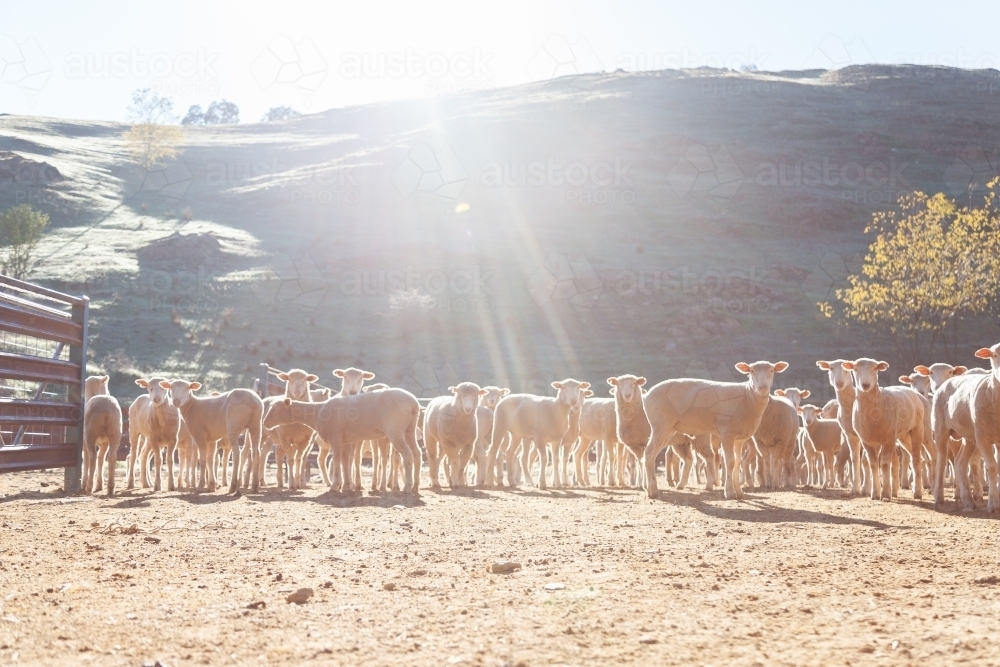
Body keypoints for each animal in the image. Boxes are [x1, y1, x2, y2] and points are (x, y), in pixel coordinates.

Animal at [263, 387, 421, 494]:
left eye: (275, 408)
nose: (264, 423)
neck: (316, 411)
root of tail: (414, 403)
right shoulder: (346, 440)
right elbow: (345, 461)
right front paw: (346, 486)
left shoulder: (335, 437)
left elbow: (337, 460)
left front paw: (335, 486)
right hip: (409, 430)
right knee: (417, 453)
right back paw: (415, 486)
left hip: (395, 430)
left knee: (407, 454)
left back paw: (407, 487)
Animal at [640, 361, 788, 499]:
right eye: (751, 371)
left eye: (772, 370)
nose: (762, 388)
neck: (747, 396)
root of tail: (646, 395)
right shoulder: (727, 433)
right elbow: (730, 462)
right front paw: (729, 492)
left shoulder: (739, 438)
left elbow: (738, 462)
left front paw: (739, 492)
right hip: (661, 425)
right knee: (649, 453)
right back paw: (652, 490)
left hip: (668, 429)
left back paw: (649, 488)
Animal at [816, 360, 867, 496]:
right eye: (831, 368)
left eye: (846, 370)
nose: (839, 383)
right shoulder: (849, 434)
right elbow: (855, 459)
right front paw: (856, 488)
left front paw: (865, 487)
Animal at [841, 359, 927, 501]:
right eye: (855, 369)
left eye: (875, 368)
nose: (865, 385)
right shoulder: (868, 441)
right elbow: (873, 465)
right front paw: (875, 494)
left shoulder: (889, 439)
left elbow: (885, 464)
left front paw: (885, 494)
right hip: (903, 436)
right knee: (911, 457)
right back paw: (898, 490)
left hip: (917, 429)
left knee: (916, 459)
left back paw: (917, 492)